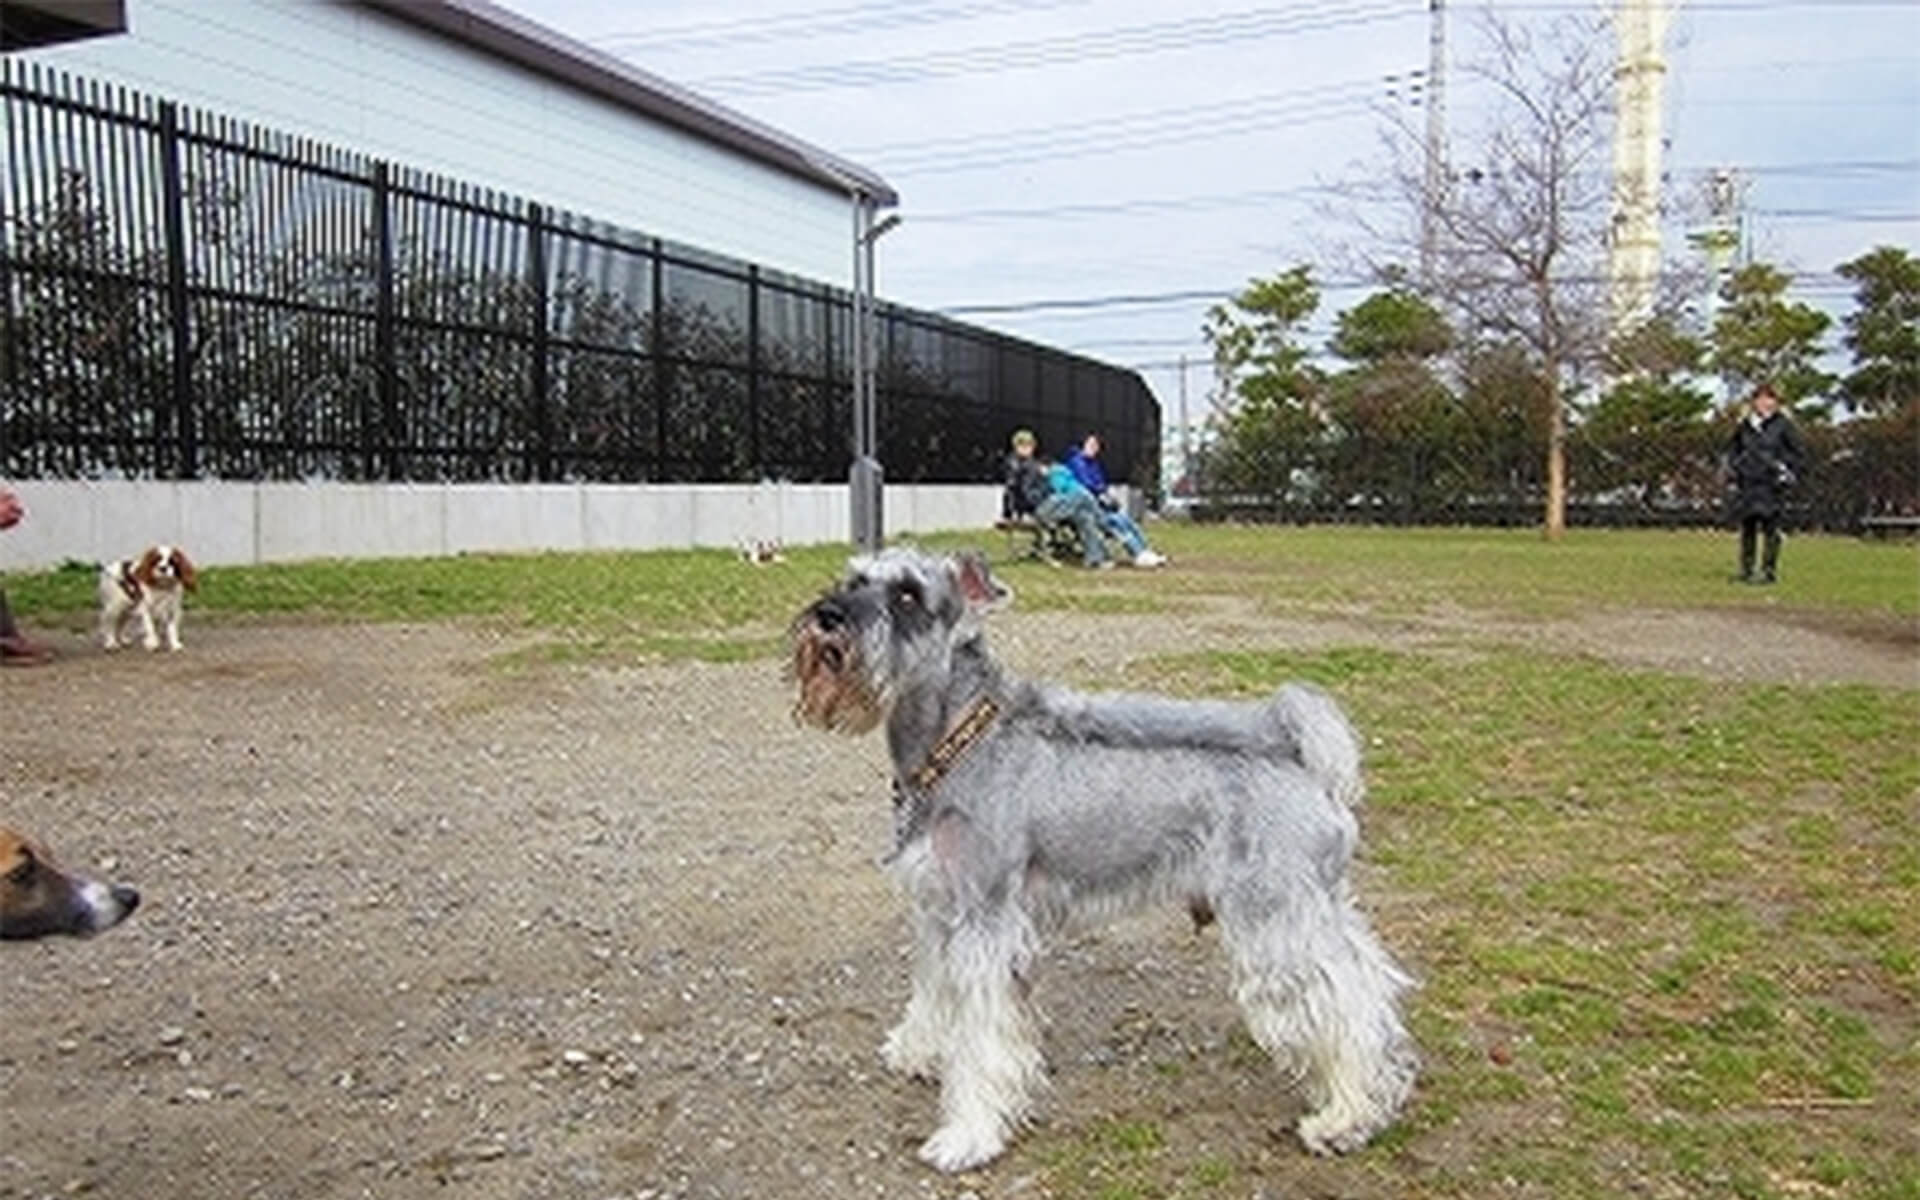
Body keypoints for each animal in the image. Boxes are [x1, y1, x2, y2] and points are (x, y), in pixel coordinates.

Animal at [787, 549, 1420, 1167]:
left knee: (1347, 1008)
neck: (955, 743)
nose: (827, 615)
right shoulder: (938, 910)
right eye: (854, 578)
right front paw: (917, 1050)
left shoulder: (986, 923)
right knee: (1372, 984)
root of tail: (1301, 758)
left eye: (908, 594)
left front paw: (968, 1135)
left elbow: (983, 1039)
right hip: (1317, 909)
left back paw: (1347, 1117)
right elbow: (932, 990)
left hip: (1277, 922)